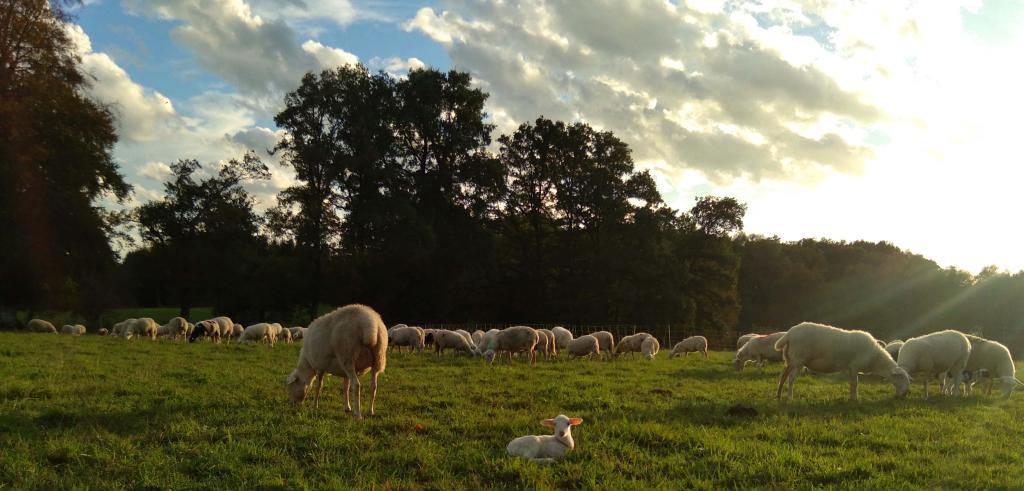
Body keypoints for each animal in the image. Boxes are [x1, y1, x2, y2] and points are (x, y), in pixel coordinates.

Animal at [774, 322, 910, 401]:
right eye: (902, 378)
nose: (905, 395)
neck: (875, 359)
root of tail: (789, 334)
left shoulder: (850, 368)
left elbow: (851, 383)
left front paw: (851, 398)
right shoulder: (854, 366)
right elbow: (855, 383)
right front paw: (855, 399)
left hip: (790, 359)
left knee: (783, 376)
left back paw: (779, 396)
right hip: (799, 359)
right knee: (791, 378)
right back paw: (790, 398)